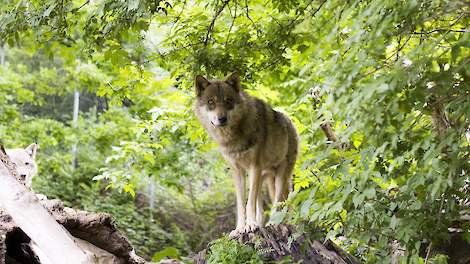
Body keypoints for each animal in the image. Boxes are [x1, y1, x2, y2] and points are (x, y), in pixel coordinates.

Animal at [194, 71, 298, 236]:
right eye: (211, 102)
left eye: (228, 101)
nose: (222, 118)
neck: (233, 137)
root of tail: (290, 121)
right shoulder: (238, 171)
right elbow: (242, 204)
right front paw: (240, 228)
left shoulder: (254, 167)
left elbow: (250, 202)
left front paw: (250, 225)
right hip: (264, 178)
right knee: (262, 206)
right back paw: (261, 223)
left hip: (281, 175)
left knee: (279, 201)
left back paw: (273, 223)